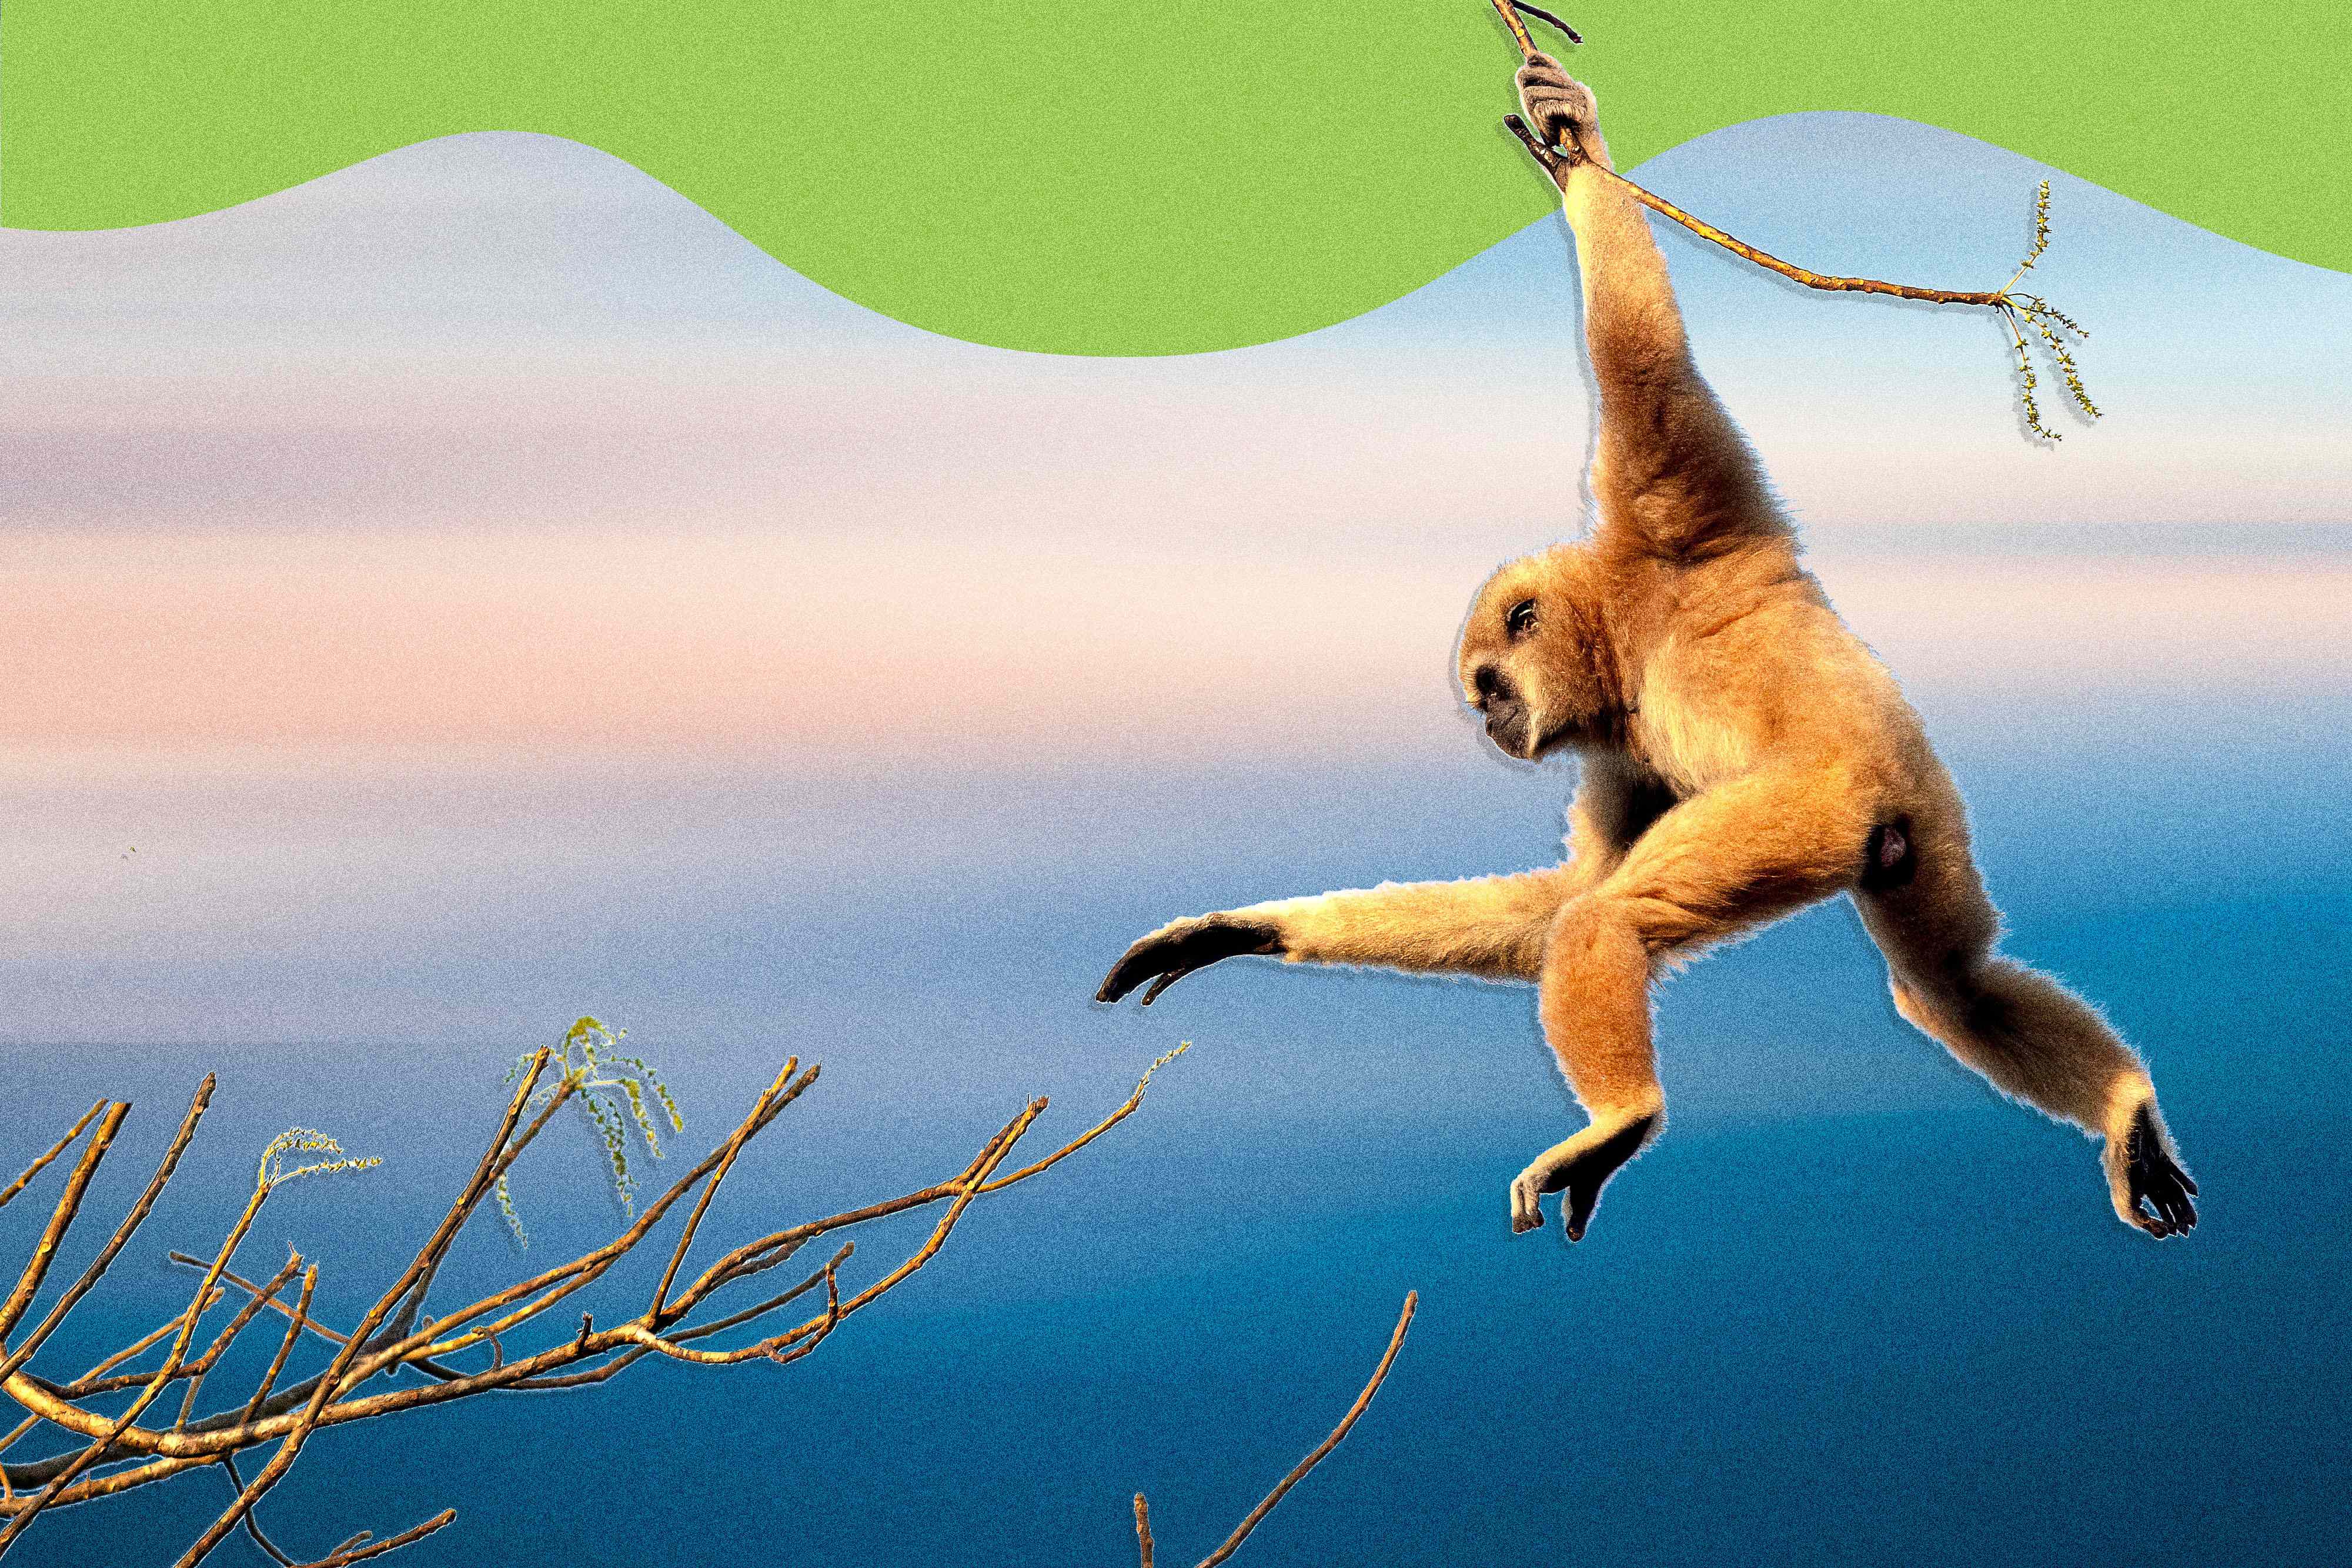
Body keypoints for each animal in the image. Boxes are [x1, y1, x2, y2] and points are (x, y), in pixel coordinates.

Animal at [1096, 55, 2198, 1245]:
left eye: (1488, 686)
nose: (1495, 723)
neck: (1627, 619)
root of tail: (1888, 796)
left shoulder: (1669, 511)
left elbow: (1644, 360)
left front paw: (1579, 155)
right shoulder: (1622, 746)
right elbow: (1548, 903)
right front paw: (1241, 930)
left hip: (1809, 810)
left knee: (1621, 918)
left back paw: (1623, 1116)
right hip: (1921, 831)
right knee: (1952, 984)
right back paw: (2125, 1108)